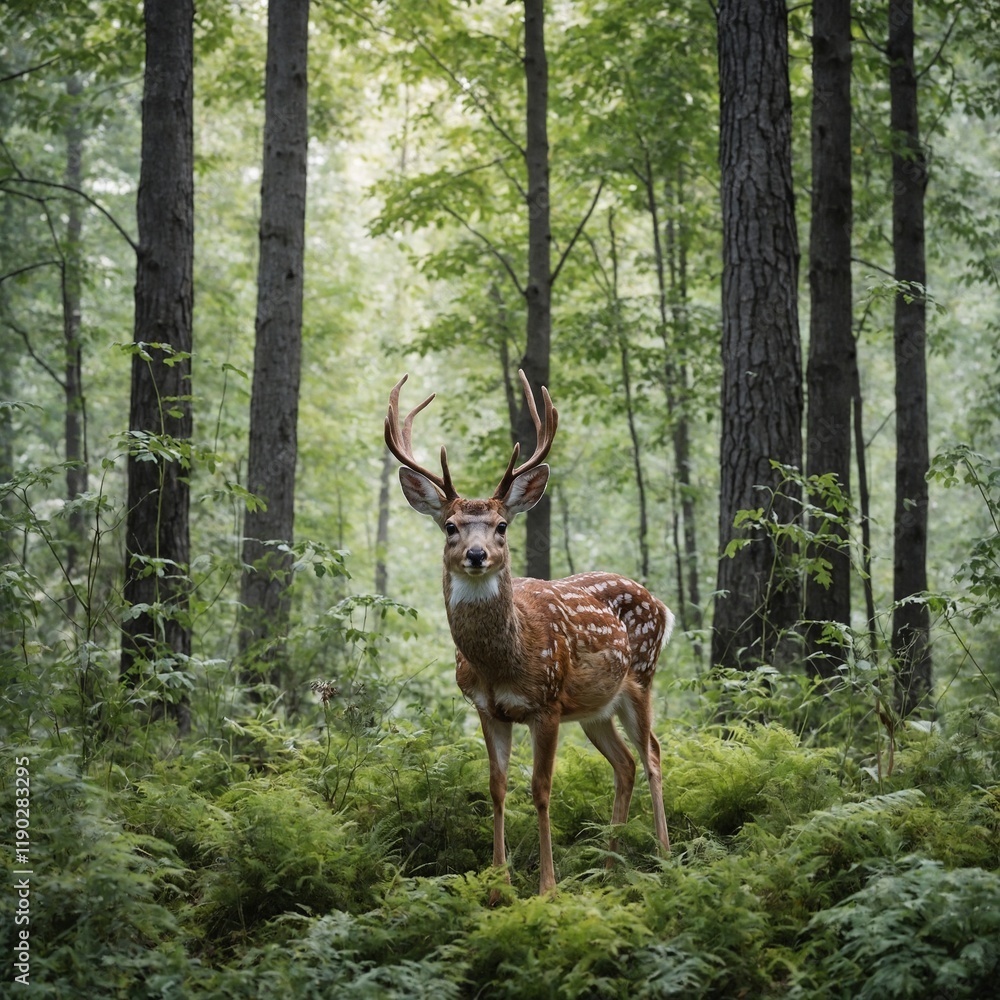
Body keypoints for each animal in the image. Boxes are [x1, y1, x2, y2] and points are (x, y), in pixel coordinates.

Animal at [384, 369, 674, 897]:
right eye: (450, 526)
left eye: (501, 525)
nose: (477, 554)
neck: (504, 660)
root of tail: (659, 603)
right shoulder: (487, 707)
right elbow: (496, 788)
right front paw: (497, 885)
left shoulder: (547, 703)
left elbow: (541, 790)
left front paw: (546, 887)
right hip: (596, 707)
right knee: (624, 763)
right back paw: (607, 870)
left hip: (641, 678)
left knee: (653, 756)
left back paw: (664, 858)